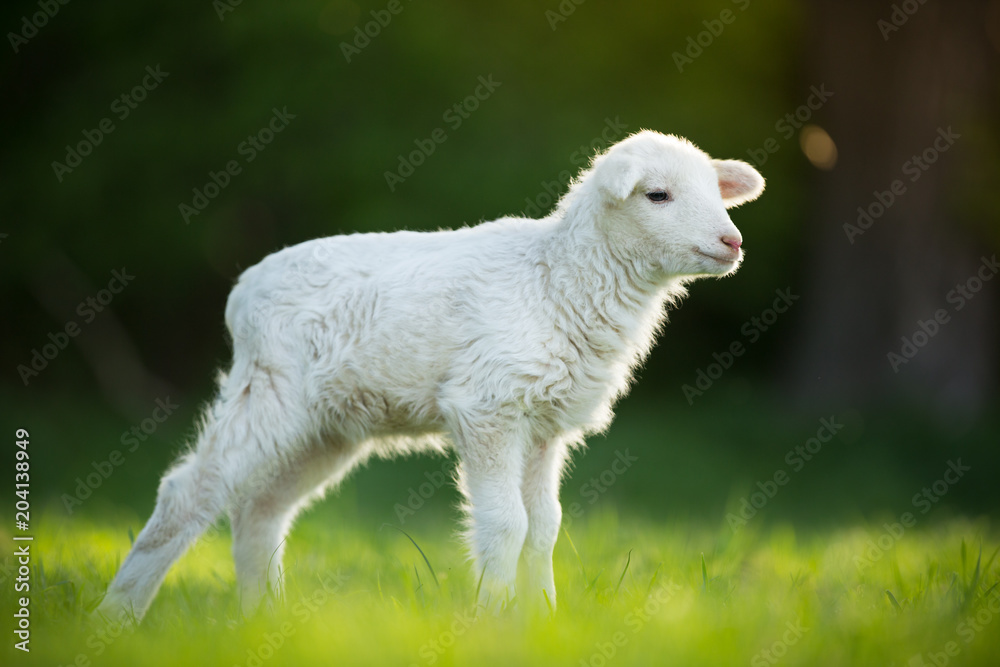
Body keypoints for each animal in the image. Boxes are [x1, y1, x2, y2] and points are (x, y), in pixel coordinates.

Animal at [98, 129, 764, 622]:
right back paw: (119, 616)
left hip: (326, 426)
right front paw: (494, 621)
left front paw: (543, 619)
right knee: (190, 492)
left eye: (717, 191)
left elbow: (545, 527)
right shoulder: (489, 406)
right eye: (658, 195)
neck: (558, 279)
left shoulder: (545, 425)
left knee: (259, 511)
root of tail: (243, 292)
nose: (731, 242)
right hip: (271, 390)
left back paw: (265, 618)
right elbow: (507, 523)